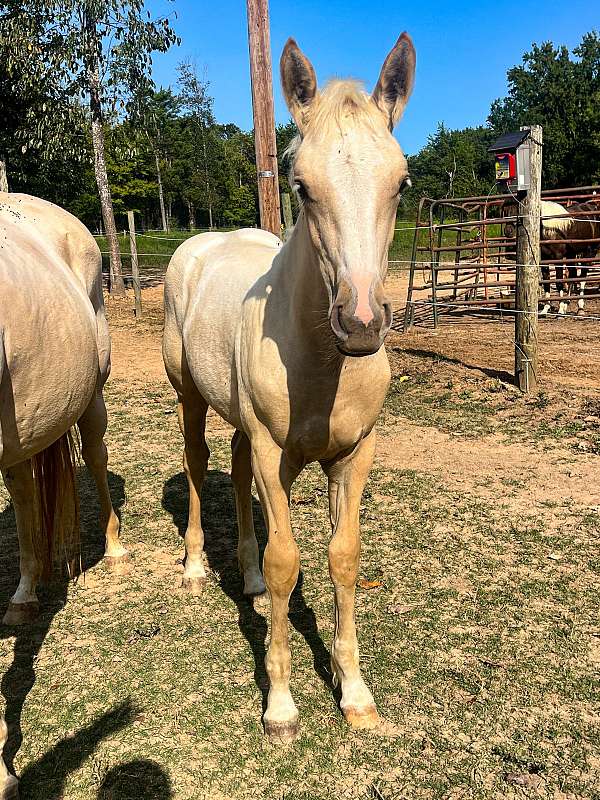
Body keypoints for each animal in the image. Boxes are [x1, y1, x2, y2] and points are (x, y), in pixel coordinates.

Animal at [164, 34, 418, 740]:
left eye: (401, 182)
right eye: (301, 186)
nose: (361, 323)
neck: (322, 363)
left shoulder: (354, 454)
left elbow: (343, 557)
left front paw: (354, 692)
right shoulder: (277, 458)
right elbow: (287, 563)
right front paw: (279, 704)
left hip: (242, 424)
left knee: (233, 465)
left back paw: (245, 579)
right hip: (190, 397)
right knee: (196, 464)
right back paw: (195, 567)